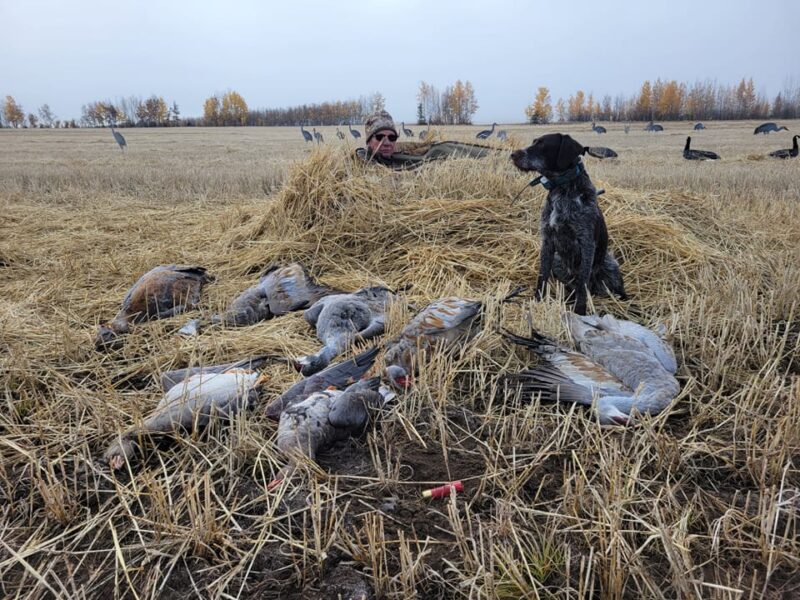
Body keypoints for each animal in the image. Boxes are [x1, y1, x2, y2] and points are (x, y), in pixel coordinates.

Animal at [512, 134, 624, 316]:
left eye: (542, 144)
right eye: (534, 141)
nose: (513, 154)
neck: (562, 190)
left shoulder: (586, 244)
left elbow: (582, 282)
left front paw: (580, 311)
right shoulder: (547, 241)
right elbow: (542, 276)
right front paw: (537, 301)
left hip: (610, 265)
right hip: (558, 262)